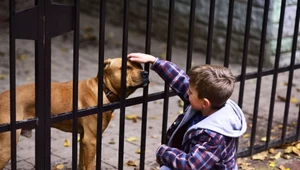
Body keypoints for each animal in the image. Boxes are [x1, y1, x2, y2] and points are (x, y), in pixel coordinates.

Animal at [0, 57, 149, 169]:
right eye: (127, 68)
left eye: (140, 66)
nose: (146, 73)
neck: (103, 90)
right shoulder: (91, 140)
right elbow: (90, 166)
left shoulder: (83, 139)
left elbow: (81, 163)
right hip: (6, 147)